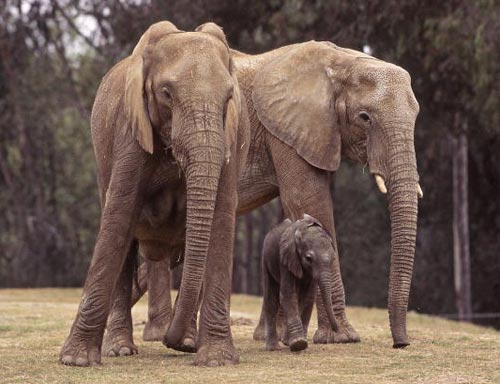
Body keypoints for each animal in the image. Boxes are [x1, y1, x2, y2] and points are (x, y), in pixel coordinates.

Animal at [59, 20, 250, 366]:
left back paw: (186, 341)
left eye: (229, 96)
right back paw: (121, 348)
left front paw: (215, 360)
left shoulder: (235, 132)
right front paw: (76, 361)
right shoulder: (129, 128)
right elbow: (118, 217)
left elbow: (220, 217)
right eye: (166, 94)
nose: (170, 341)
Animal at [262, 213, 340, 352]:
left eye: (333, 258)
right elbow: (287, 294)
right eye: (308, 258)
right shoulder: (286, 258)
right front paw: (299, 344)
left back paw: (285, 341)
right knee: (271, 297)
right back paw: (273, 348)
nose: (336, 329)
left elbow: (308, 297)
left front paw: (298, 343)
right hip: (266, 259)